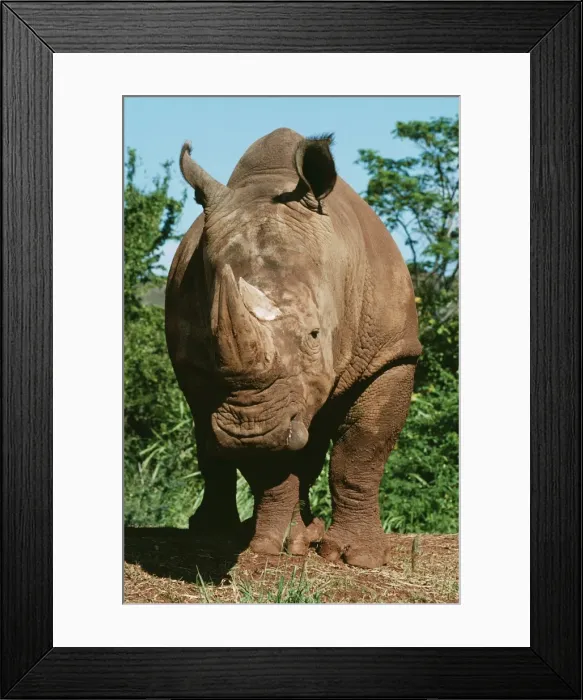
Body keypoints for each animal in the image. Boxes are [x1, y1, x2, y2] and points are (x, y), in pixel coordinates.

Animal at [166, 128, 421, 568]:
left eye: (314, 336)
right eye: (211, 347)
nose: (249, 430)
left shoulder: (391, 353)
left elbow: (361, 450)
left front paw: (358, 557)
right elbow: (270, 461)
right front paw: (273, 545)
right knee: (208, 430)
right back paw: (218, 531)